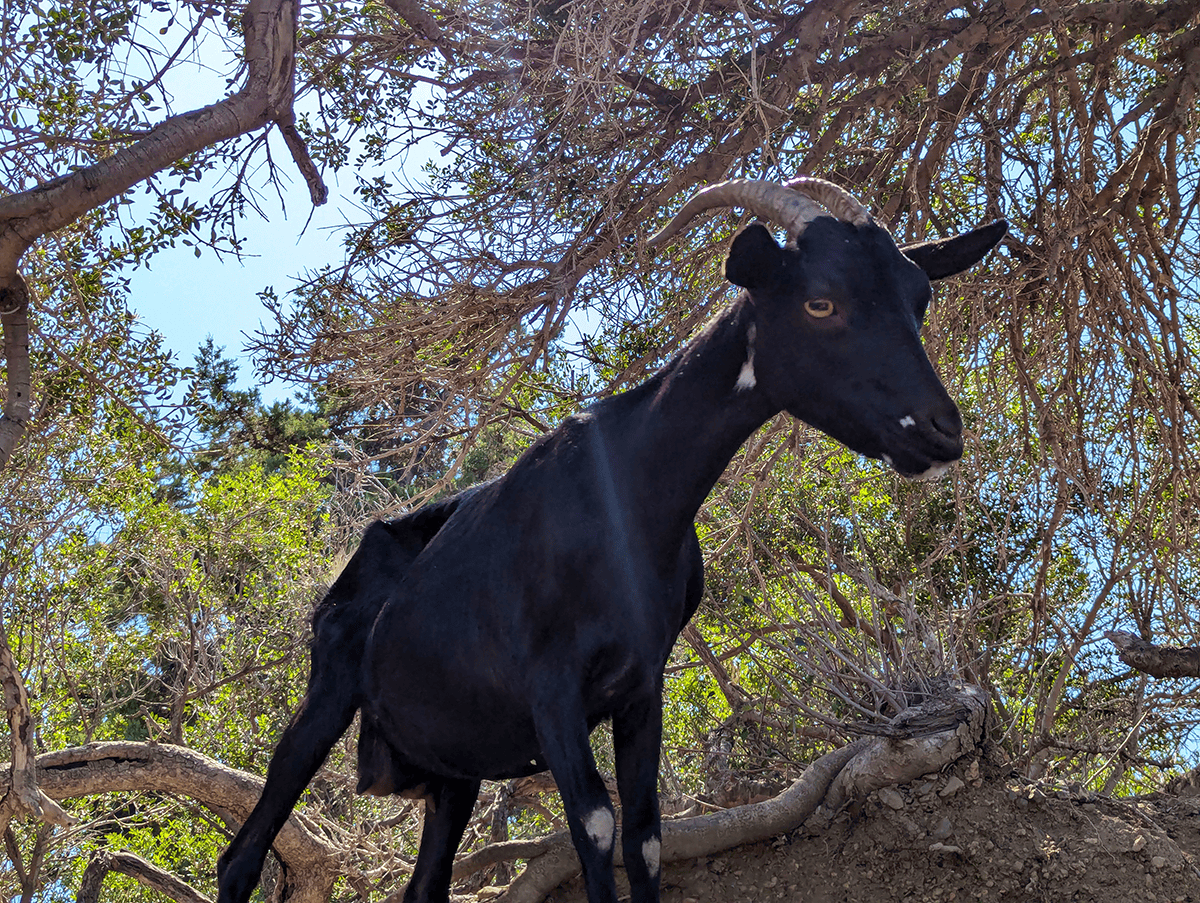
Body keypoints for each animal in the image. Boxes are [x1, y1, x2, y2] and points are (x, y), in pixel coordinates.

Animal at [216, 180, 1003, 903]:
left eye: (918, 299)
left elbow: (646, 833)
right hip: (326, 696)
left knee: (425, 886)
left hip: (451, 772)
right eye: (820, 302)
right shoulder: (551, 687)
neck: (626, 498)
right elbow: (594, 824)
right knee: (243, 853)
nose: (941, 430)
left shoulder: (641, 684)